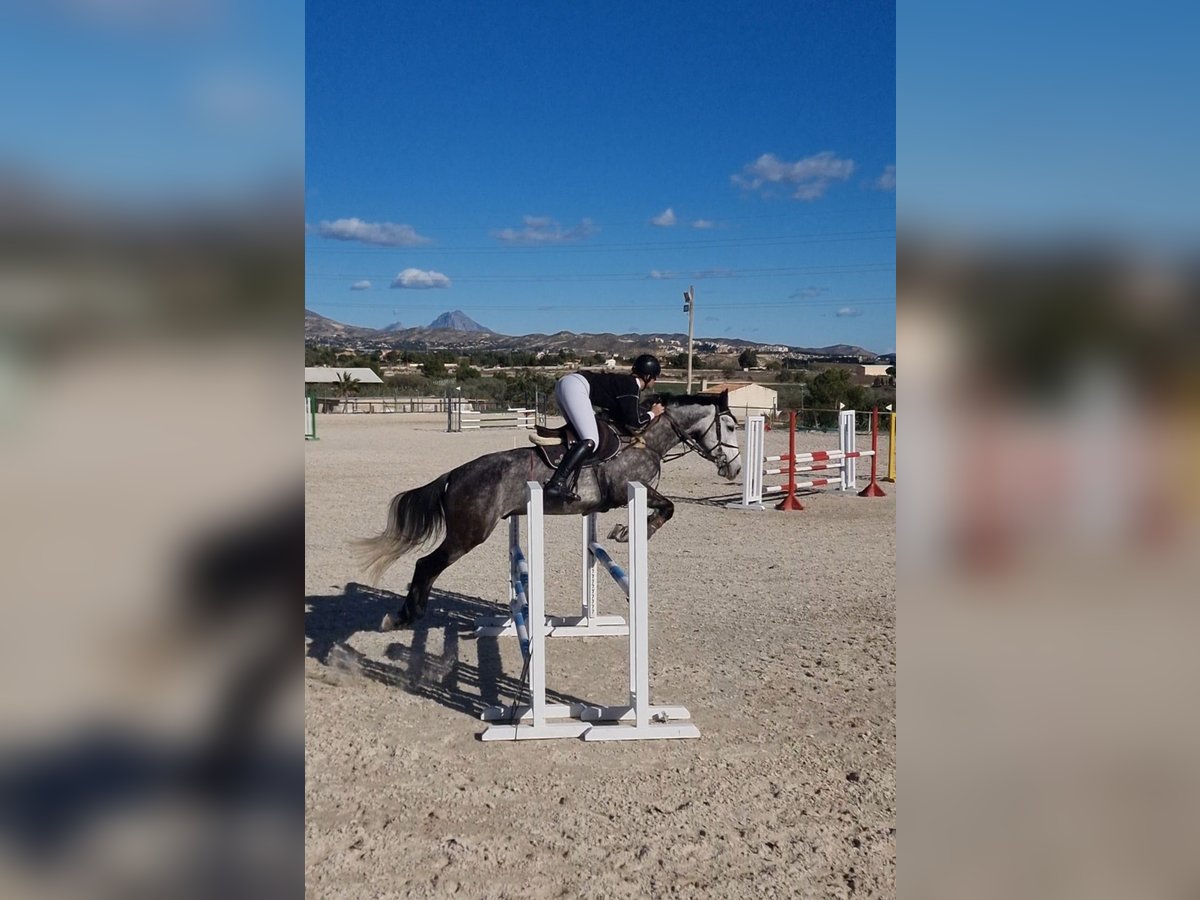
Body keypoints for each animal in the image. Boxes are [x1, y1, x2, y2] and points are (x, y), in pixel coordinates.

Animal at [352, 391, 739, 628]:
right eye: (731, 426)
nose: (733, 469)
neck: (647, 441)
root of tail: (454, 475)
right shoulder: (628, 490)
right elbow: (668, 508)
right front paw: (630, 531)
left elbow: (666, 508)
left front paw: (625, 531)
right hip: (468, 534)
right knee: (426, 565)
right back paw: (405, 615)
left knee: (426, 566)